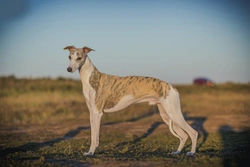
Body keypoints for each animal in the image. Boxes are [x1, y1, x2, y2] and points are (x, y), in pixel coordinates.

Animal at [64, 45, 197, 156]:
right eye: (69, 57)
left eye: (79, 58)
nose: (69, 69)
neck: (91, 77)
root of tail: (172, 87)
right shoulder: (92, 113)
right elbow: (93, 135)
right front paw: (89, 152)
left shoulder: (97, 113)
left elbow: (95, 137)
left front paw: (91, 153)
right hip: (167, 115)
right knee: (184, 135)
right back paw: (177, 152)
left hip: (174, 113)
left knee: (193, 133)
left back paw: (191, 153)